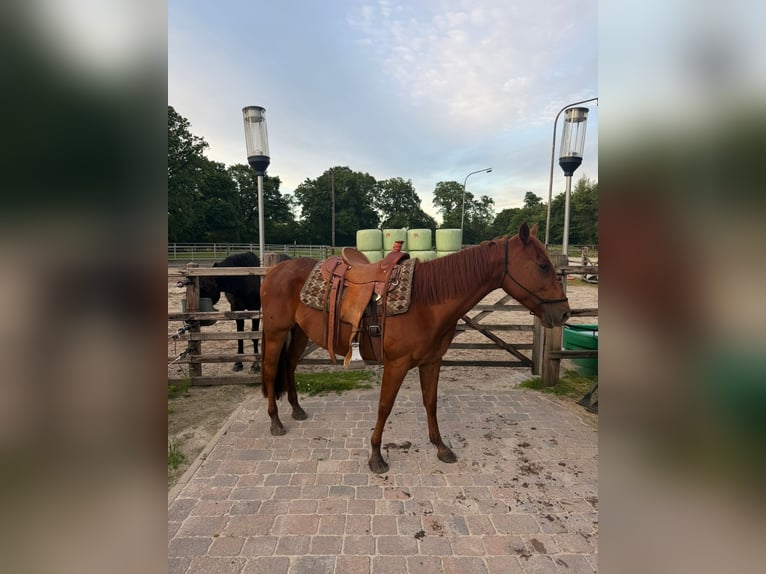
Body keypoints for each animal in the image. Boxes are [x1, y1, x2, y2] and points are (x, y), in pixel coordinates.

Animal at [259, 223, 571, 473]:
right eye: (542, 265)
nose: (565, 313)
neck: (426, 299)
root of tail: (275, 269)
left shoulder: (432, 361)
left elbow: (430, 403)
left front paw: (441, 447)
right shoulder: (396, 364)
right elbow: (384, 406)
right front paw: (376, 456)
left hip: (300, 333)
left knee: (289, 365)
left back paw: (297, 409)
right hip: (276, 332)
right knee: (271, 369)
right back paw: (275, 422)